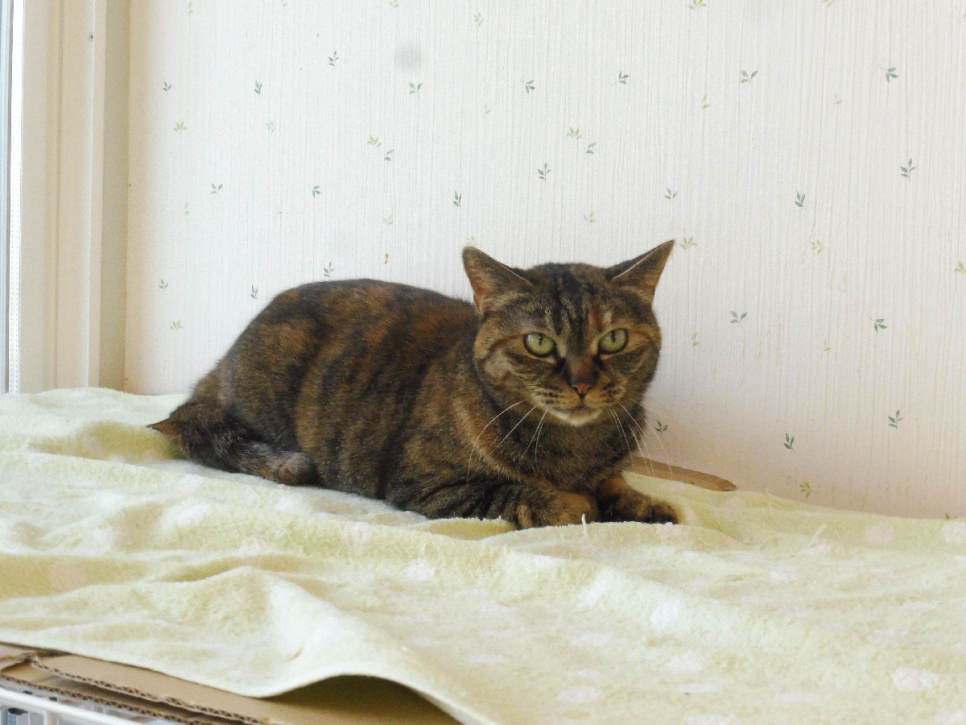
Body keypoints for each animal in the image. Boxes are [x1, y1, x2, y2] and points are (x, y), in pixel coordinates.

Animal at [150, 241, 678, 529]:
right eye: (539, 342)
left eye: (613, 339)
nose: (582, 383)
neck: (575, 448)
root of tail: (218, 367)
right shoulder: (429, 485)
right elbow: (526, 495)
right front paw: (575, 503)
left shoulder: (610, 466)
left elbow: (617, 485)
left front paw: (647, 506)